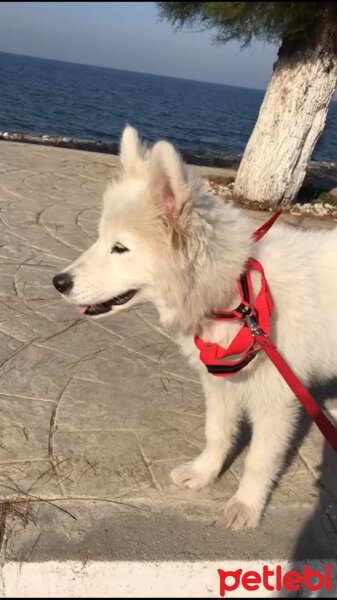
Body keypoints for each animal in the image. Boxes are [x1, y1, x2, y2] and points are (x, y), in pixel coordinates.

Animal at [52, 126, 336, 528]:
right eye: (100, 239)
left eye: (119, 248)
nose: (58, 282)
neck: (237, 295)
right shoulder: (220, 383)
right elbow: (217, 433)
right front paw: (204, 473)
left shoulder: (275, 399)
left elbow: (258, 459)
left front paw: (247, 505)